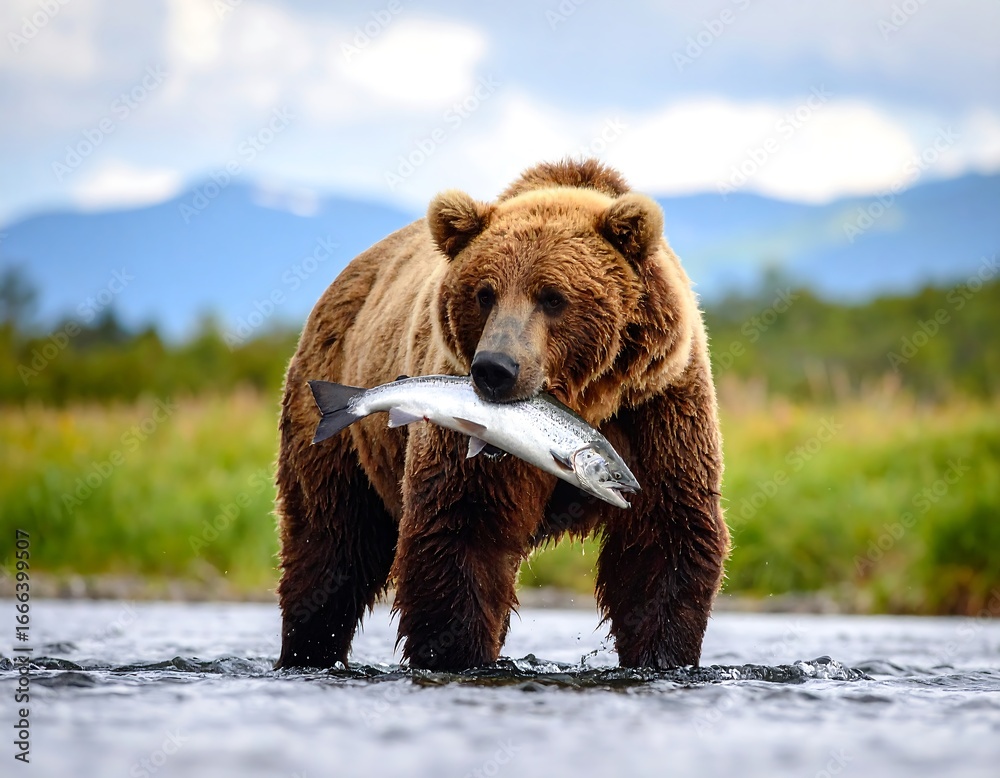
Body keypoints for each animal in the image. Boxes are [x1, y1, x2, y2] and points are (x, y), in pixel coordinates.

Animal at [274, 158, 729, 671]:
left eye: (552, 296)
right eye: (484, 293)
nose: (494, 369)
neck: (581, 399)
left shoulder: (656, 406)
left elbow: (665, 537)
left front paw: (662, 657)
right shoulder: (469, 443)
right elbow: (462, 531)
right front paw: (458, 654)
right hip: (335, 416)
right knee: (330, 546)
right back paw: (307, 650)